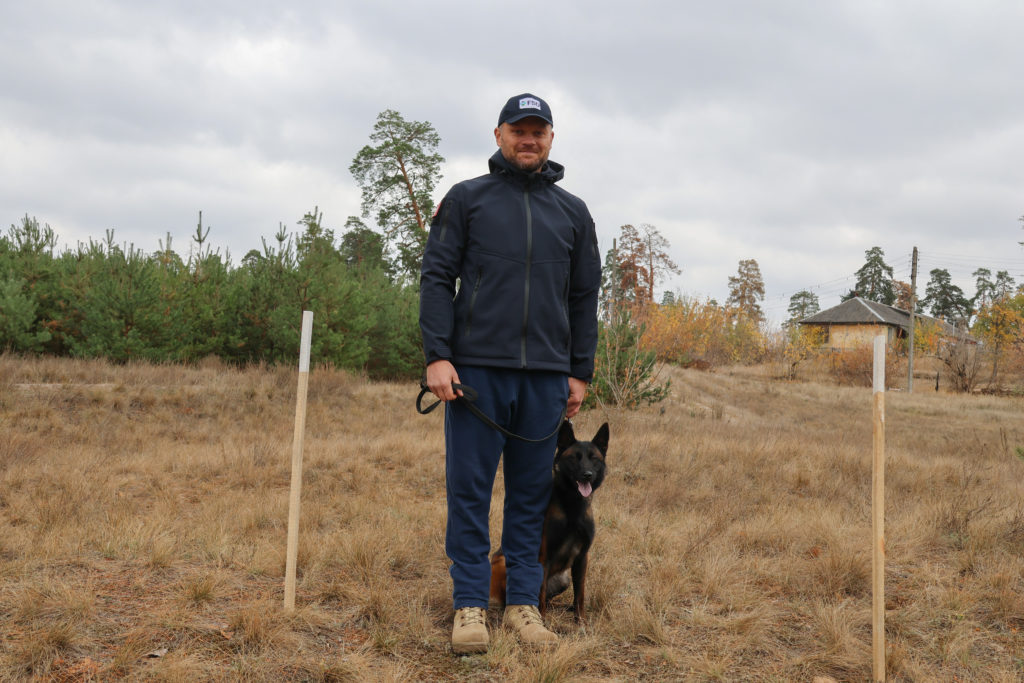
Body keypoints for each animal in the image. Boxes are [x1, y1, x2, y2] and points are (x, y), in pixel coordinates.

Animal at [491, 419, 610, 622]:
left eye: (594, 458)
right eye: (574, 458)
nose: (587, 474)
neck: (572, 506)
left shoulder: (582, 558)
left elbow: (580, 594)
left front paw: (580, 620)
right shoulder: (544, 557)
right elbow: (539, 593)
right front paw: (543, 620)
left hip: (564, 579)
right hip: (502, 561)